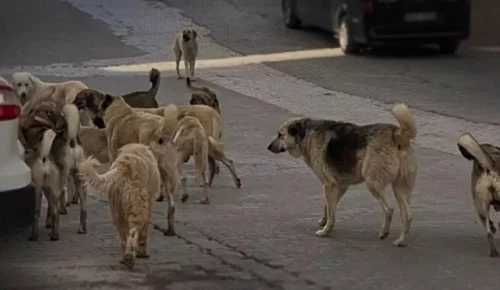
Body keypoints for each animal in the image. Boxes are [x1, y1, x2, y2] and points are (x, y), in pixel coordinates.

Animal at [18, 101, 86, 241]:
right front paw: (49, 224)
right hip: (74, 179)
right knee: (80, 205)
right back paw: (76, 229)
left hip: (39, 188)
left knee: (42, 211)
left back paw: (38, 235)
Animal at [268, 103, 416, 246]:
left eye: (280, 135)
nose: (268, 147)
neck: (306, 134)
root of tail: (397, 134)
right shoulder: (340, 186)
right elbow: (328, 207)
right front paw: (324, 222)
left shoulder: (329, 185)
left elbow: (330, 211)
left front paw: (325, 231)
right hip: (400, 189)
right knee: (408, 216)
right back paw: (400, 241)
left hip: (373, 183)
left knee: (389, 209)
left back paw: (384, 232)